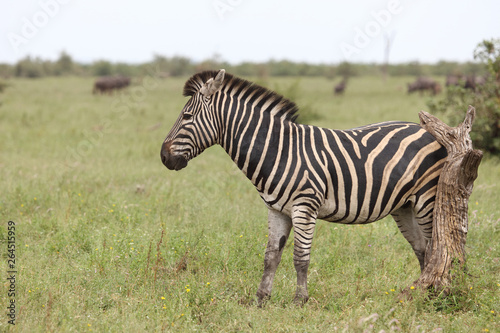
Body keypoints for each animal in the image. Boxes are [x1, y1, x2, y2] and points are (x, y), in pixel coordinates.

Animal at [161, 68, 450, 304]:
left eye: (186, 116)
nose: (163, 157)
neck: (278, 150)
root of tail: (426, 129)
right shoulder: (277, 210)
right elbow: (270, 256)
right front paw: (261, 299)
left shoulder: (304, 206)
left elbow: (300, 257)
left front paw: (300, 300)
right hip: (404, 206)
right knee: (422, 248)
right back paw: (419, 293)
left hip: (426, 199)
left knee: (435, 247)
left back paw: (430, 294)